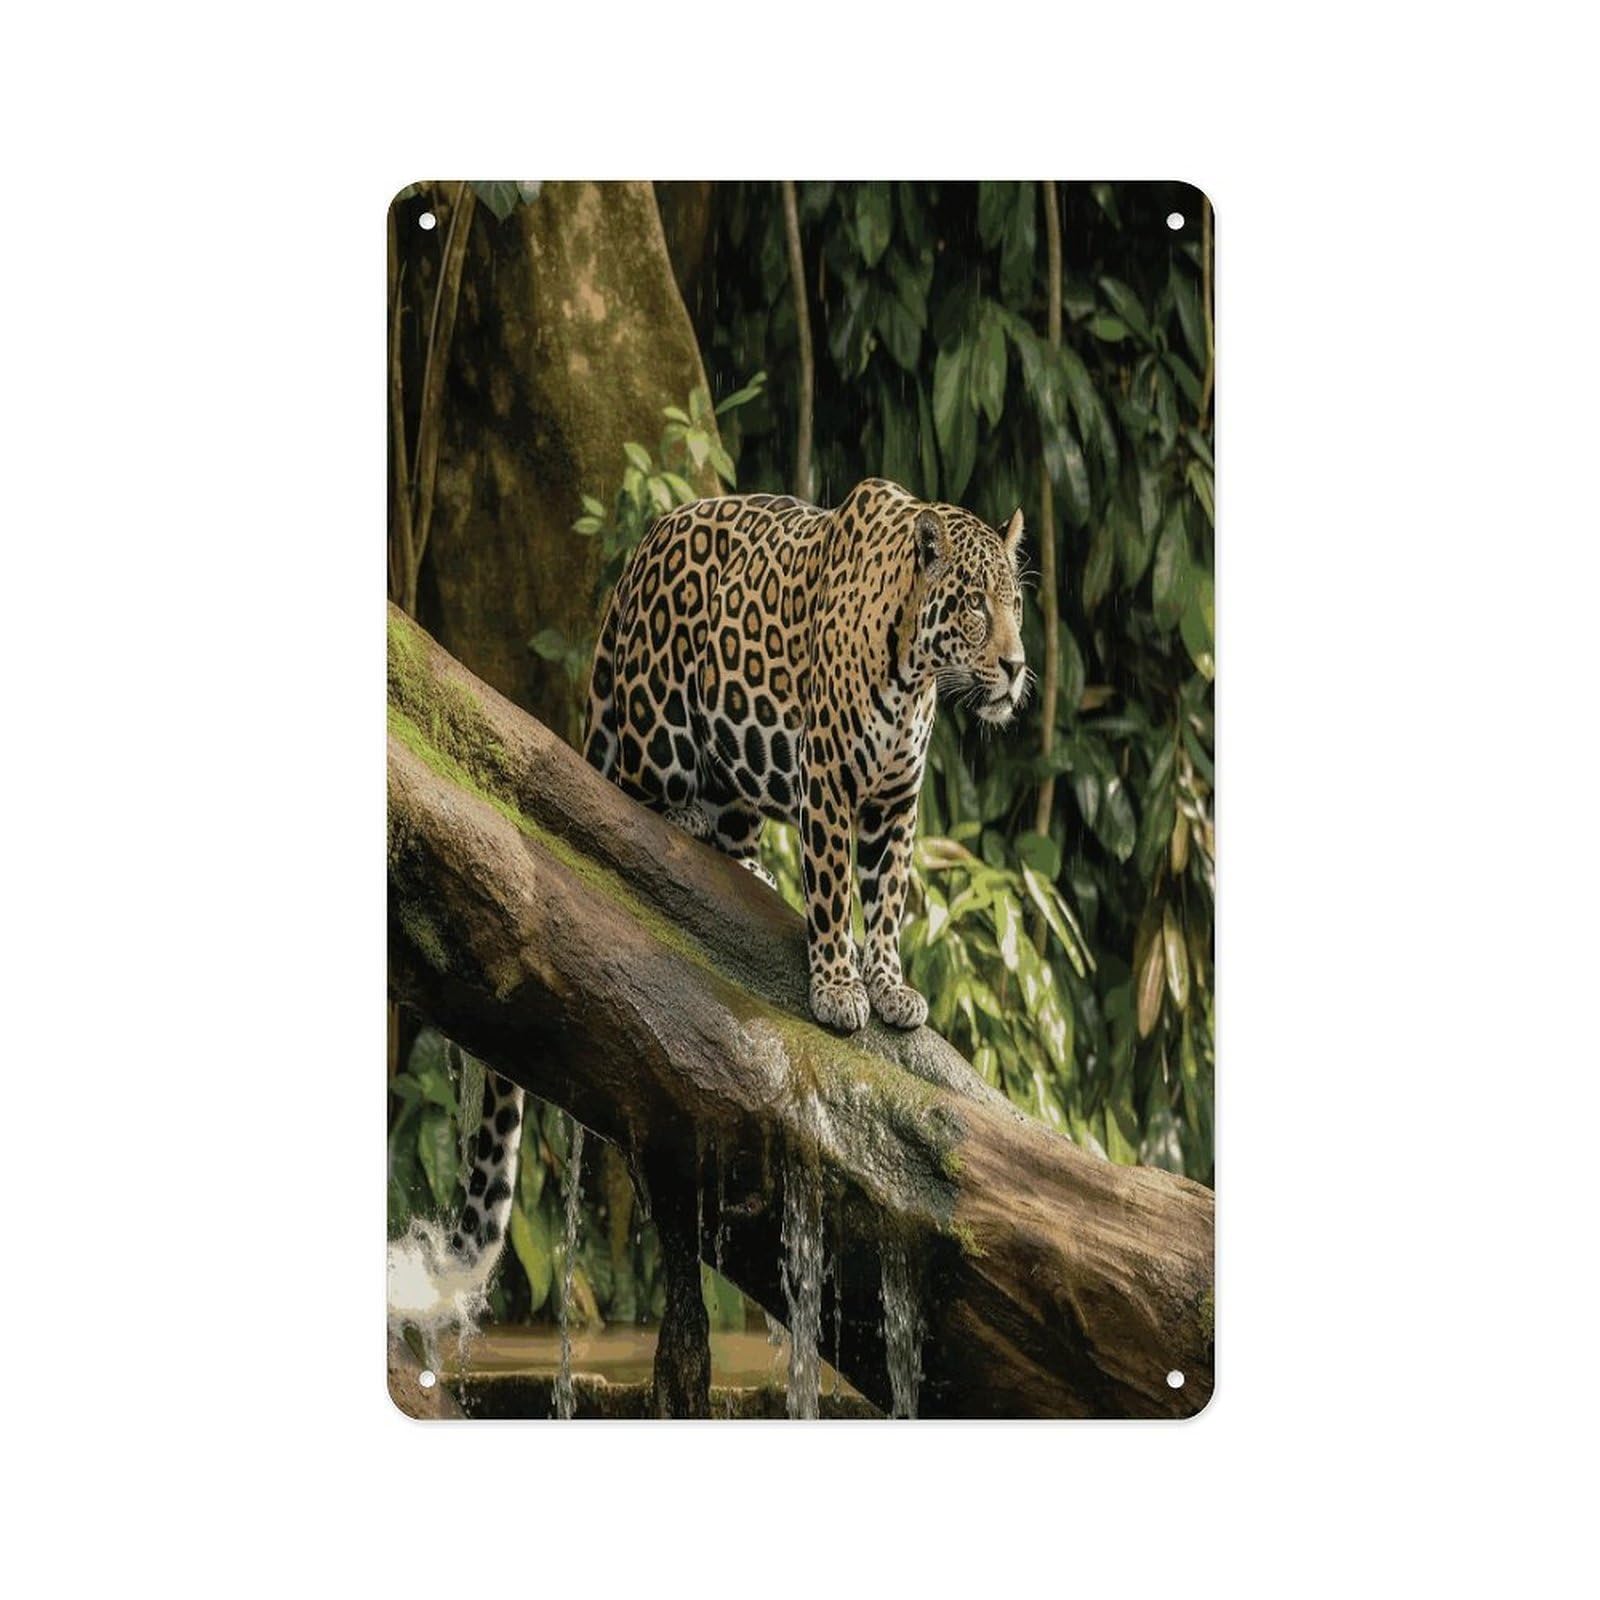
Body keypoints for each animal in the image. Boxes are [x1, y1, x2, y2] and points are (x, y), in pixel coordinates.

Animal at [581, 476, 1029, 1034]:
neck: (911, 674)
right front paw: (838, 988)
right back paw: (684, 819)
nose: (1016, 666)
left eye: (1016, 604)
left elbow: (888, 897)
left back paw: (752, 870)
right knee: (624, 789)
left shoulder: (896, 803)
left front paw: (890, 985)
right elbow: (834, 888)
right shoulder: (826, 778)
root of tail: (648, 537)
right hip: (660, 732)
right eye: (975, 605)